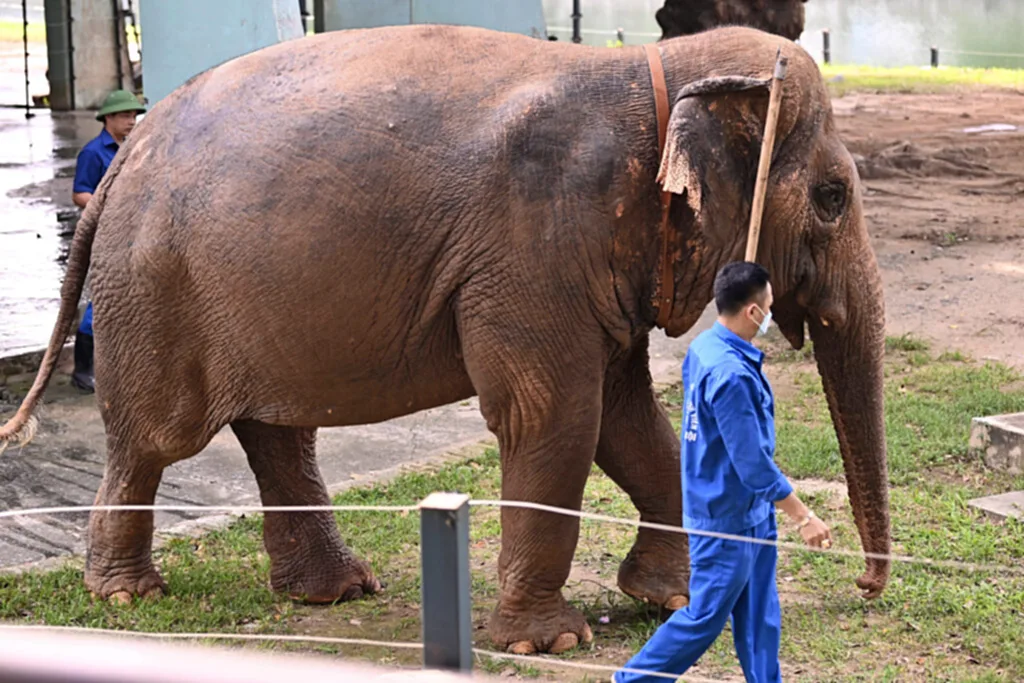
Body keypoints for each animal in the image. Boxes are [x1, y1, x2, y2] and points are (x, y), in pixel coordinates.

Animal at [0, 22, 888, 655]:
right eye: (833, 198)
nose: (868, 587)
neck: (651, 71)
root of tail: (129, 152)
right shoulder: (534, 244)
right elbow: (554, 415)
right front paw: (549, 641)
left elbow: (624, 416)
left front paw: (666, 598)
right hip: (155, 288)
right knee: (155, 438)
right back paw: (128, 594)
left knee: (276, 429)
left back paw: (331, 592)